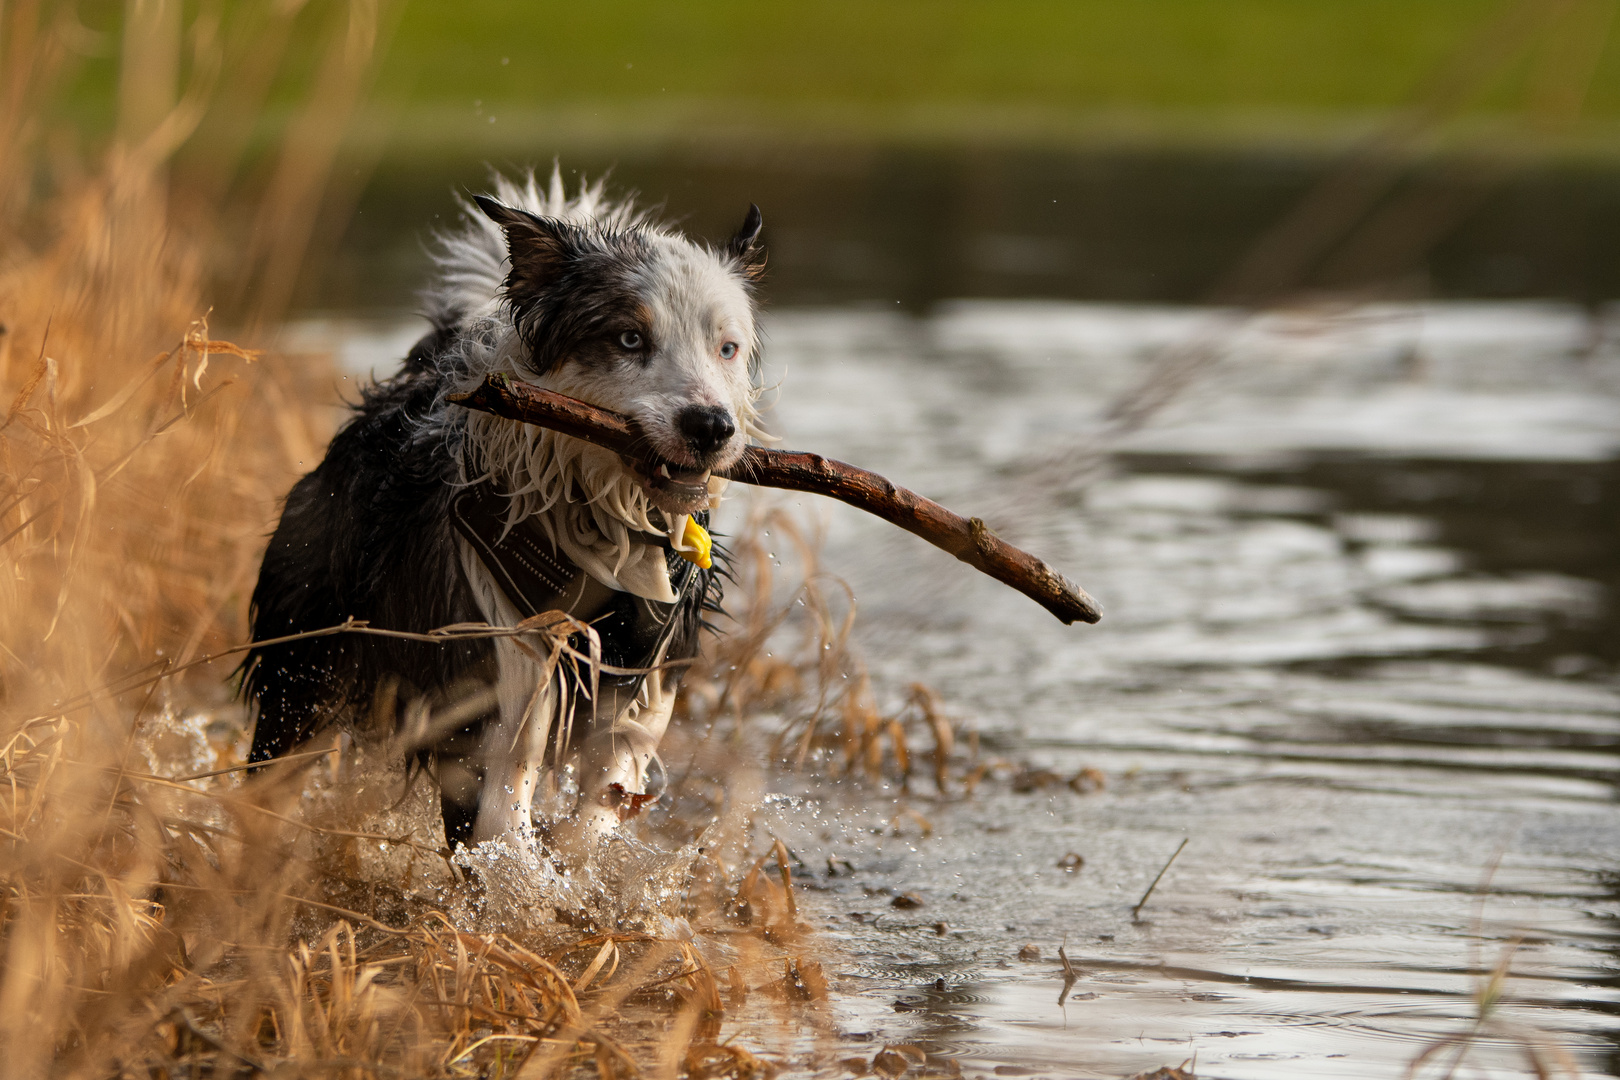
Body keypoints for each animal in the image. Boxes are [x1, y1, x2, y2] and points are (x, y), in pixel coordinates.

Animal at [243, 169, 767, 848]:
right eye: (630, 338)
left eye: (726, 348)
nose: (711, 427)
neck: (597, 528)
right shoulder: (493, 666)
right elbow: (499, 816)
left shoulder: (648, 670)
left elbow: (602, 797)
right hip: (307, 654)